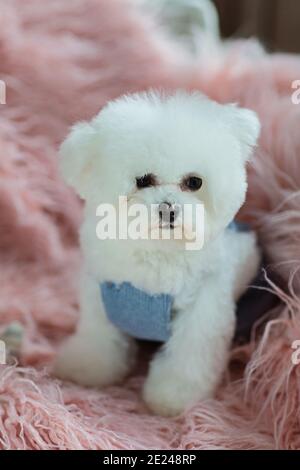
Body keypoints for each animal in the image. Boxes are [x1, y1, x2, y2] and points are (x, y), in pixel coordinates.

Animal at [55, 91, 262, 414]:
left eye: (194, 182)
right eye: (143, 180)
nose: (169, 209)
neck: (158, 250)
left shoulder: (204, 305)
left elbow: (190, 353)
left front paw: (174, 396)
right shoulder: (100, 294)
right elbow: (98, 336)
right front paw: (87, 367)